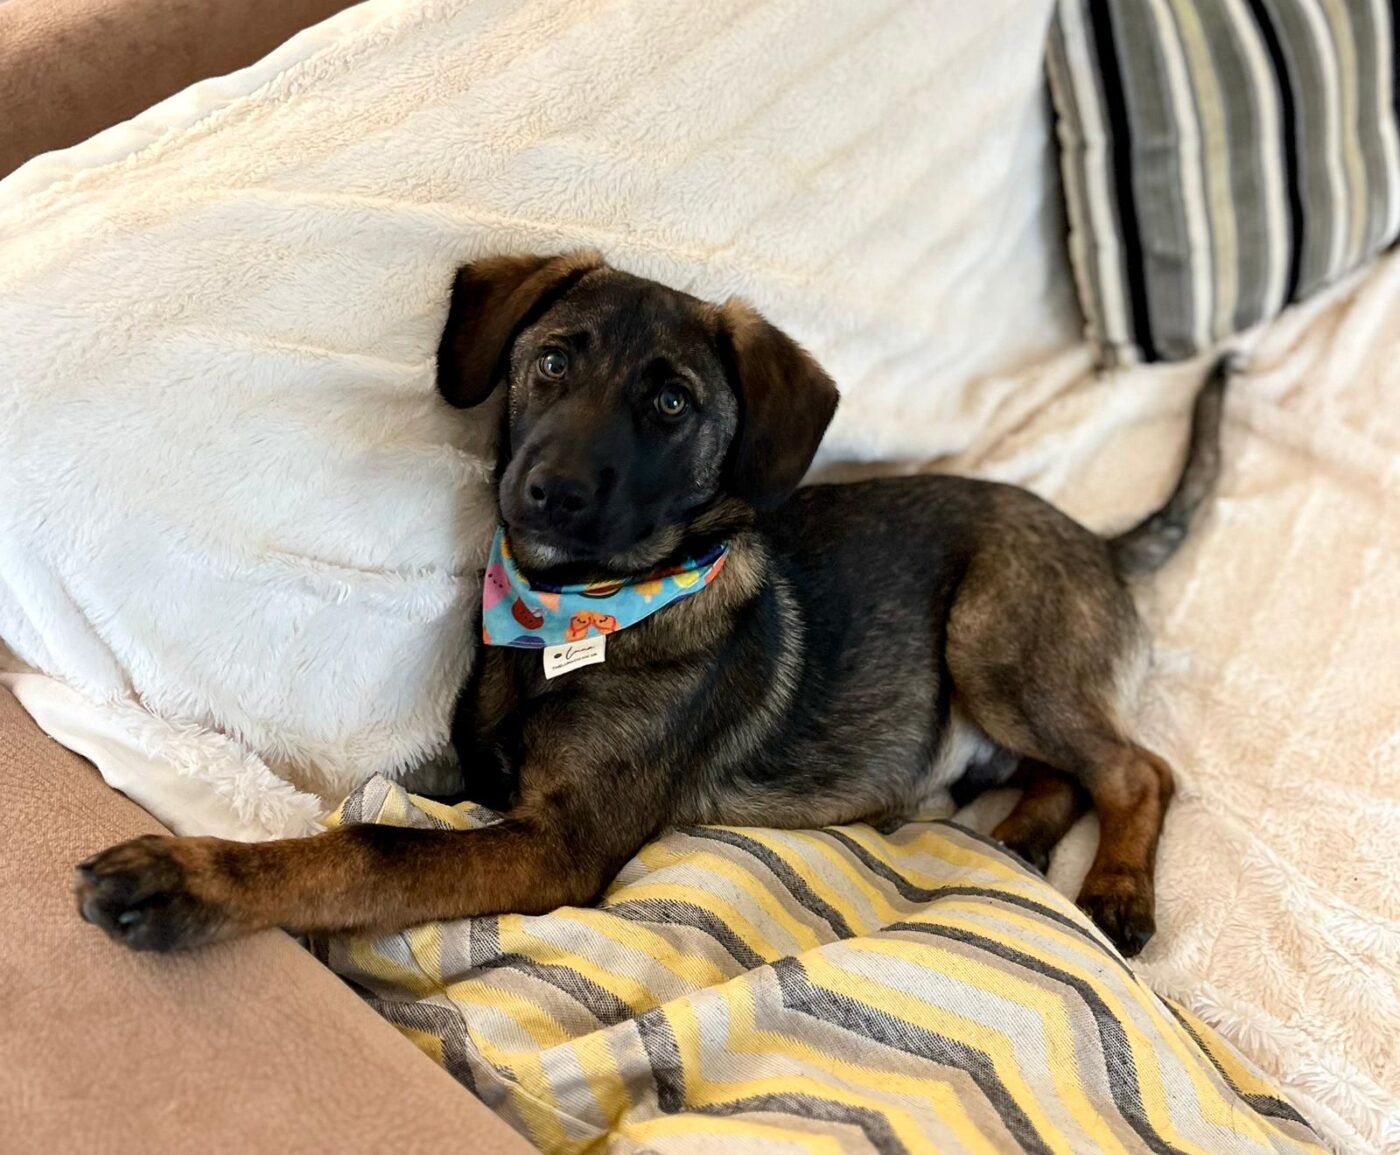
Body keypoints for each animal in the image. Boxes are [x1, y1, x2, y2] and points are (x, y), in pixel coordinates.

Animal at [75, 250, 1229, 958]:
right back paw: (1019, 838)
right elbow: (372, 800)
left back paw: (1115, 890)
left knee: (1138, 768)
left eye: (671, 403)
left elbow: (369, 849)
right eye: (549, 362)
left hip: (993, 637)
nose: (547, 493)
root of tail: (1099, 538)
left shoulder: (555, 844)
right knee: (1069, 769)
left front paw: (189, 882)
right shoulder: (470, 770)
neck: (574, 617)